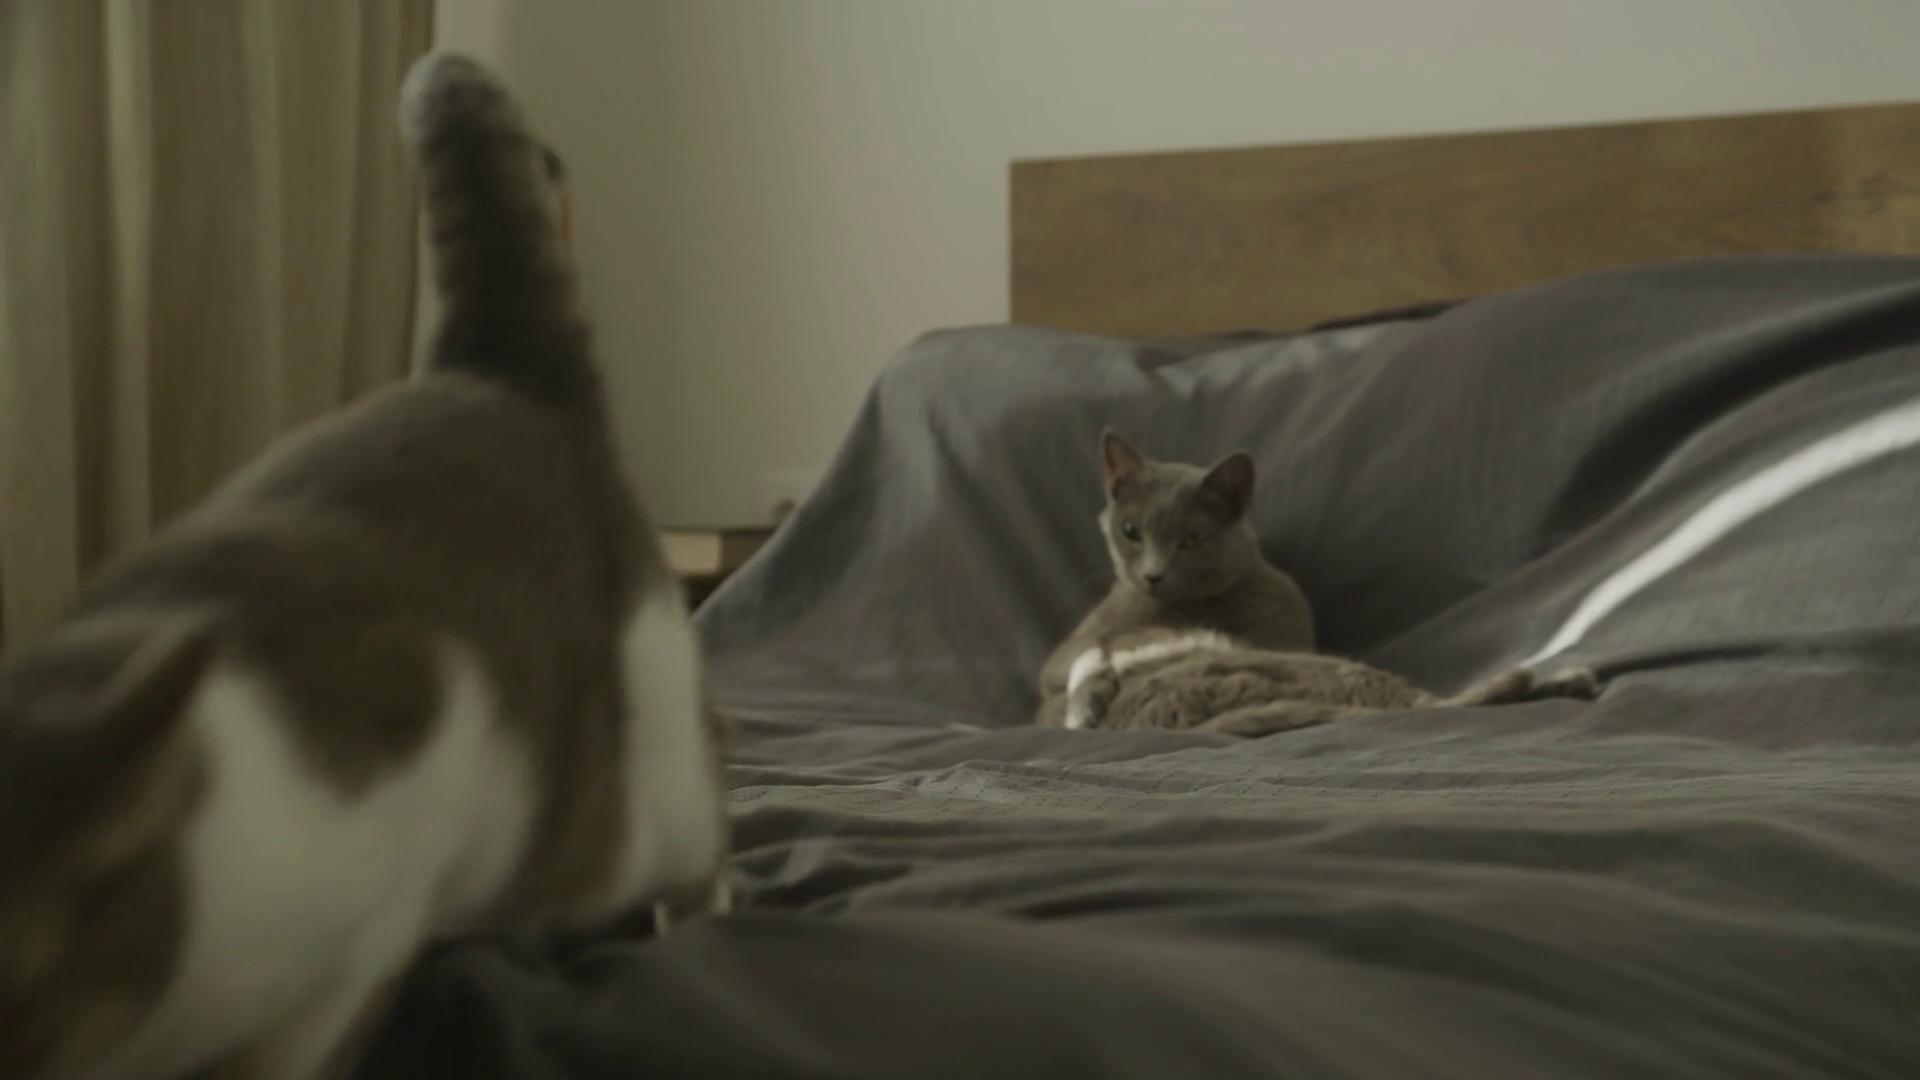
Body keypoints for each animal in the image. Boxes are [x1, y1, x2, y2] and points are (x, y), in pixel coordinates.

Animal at [1036, 431, 1597, 735]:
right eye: (1131, 532)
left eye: (1193, 538)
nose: (1153, 575)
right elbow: (1077, 663)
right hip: (1328, 673)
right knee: (1428, 706)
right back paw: (1548, 681)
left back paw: (1562, 683)